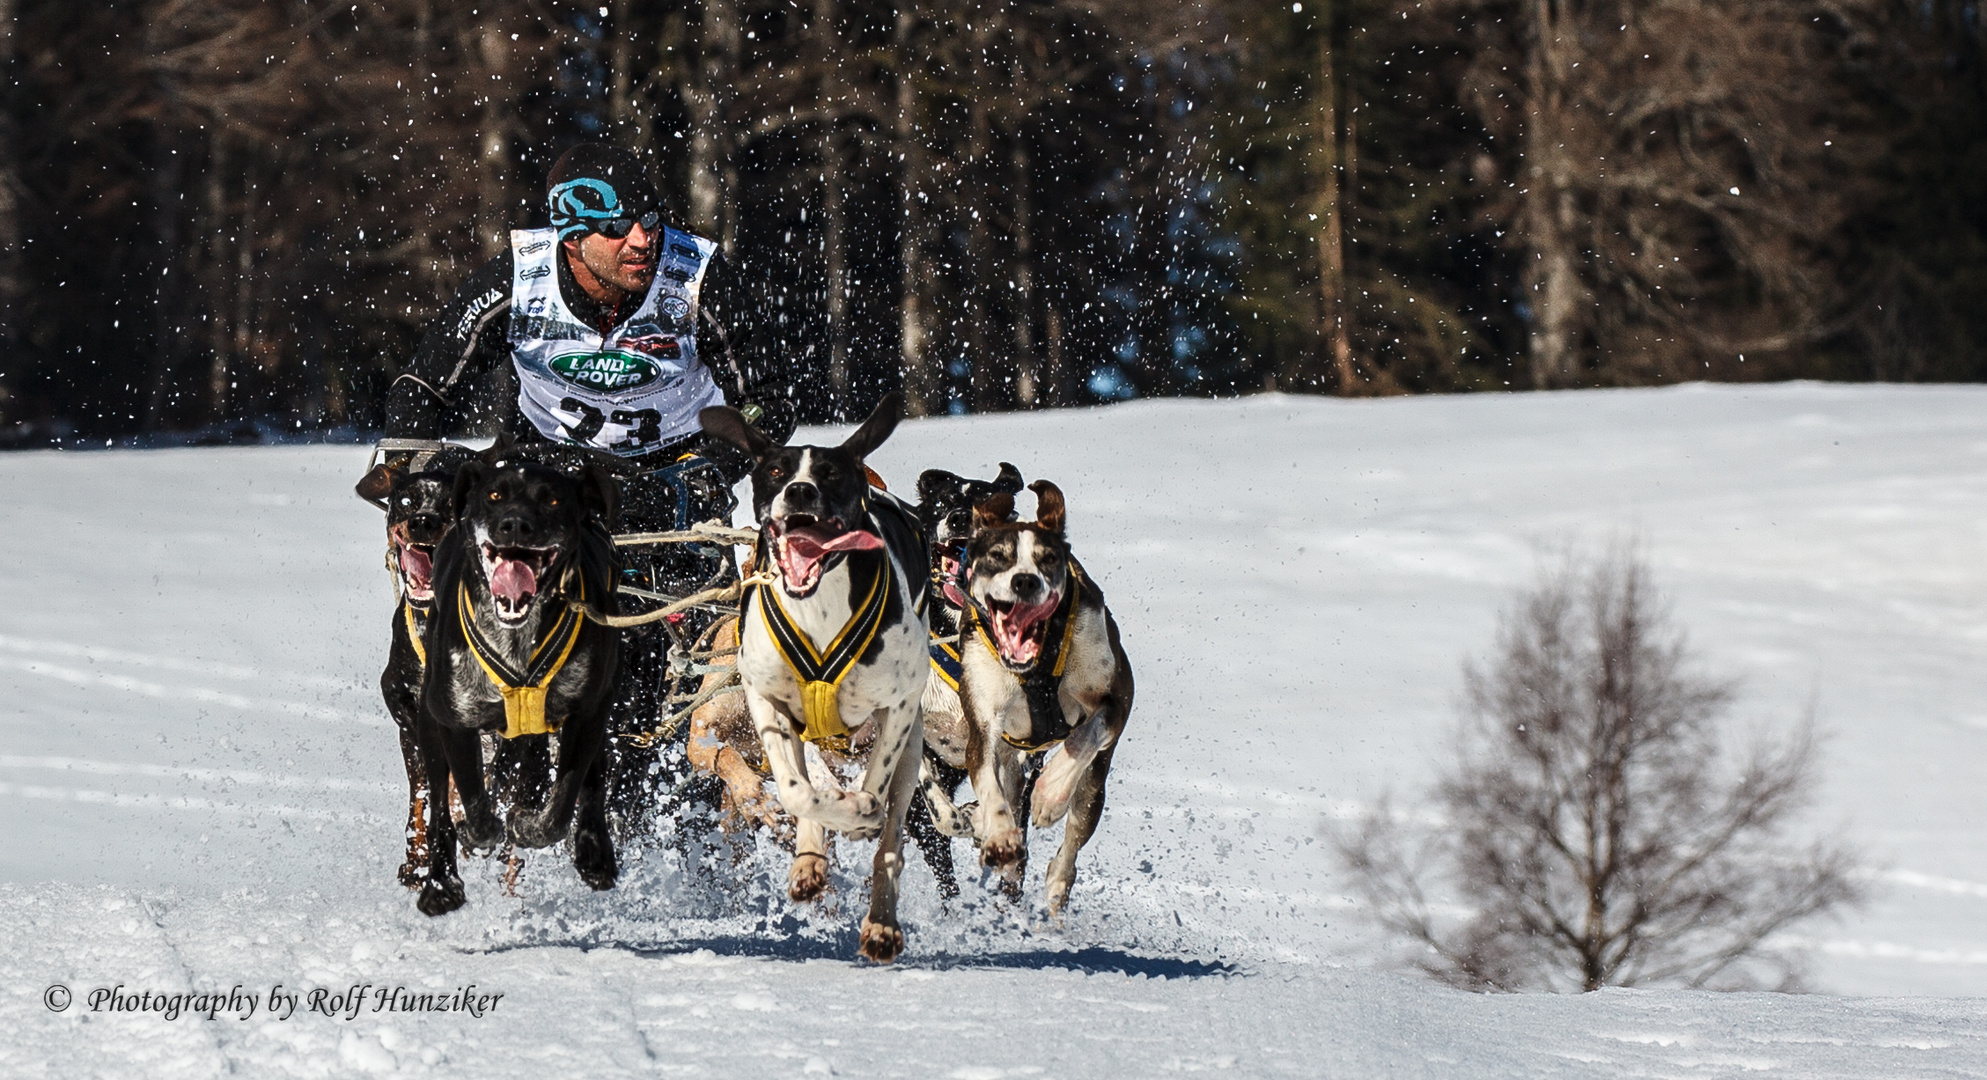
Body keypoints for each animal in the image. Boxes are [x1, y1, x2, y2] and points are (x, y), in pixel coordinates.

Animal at [407, 450, 615, 917]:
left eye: (552, 499)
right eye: (494, 496)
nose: (515, 524)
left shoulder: (587, 713)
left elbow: (562, 805)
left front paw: (527, 825)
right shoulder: (454, 721)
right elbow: (473, 802)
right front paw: (477, 832)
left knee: (592, 782)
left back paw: (594, 852)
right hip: (429, 724)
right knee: (439, 810)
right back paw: (441, 882)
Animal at [699, 393, 929, 964]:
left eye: (831, 474)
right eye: (775, 471)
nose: (799, 491)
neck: (820, 609)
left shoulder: (898, 709)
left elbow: (877, 788)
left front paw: (864, 810)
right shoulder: (765, 702)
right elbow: (797, 792)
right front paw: (824, 827)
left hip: (912, 743)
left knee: (891, 841)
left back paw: (880, 920)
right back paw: (810, 860)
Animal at [957, 480, 1136, 913]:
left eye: (1049, 559)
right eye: (997, 557)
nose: (1025, 581)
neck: (1035, 669)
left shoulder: (1118, 700)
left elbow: (1082, 738)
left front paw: (1049, 796)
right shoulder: (982, 727)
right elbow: (987, 781)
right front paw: (1000, 834)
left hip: (1094, 787)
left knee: (1070, 847)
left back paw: (1056, 884)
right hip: (1011, 759)